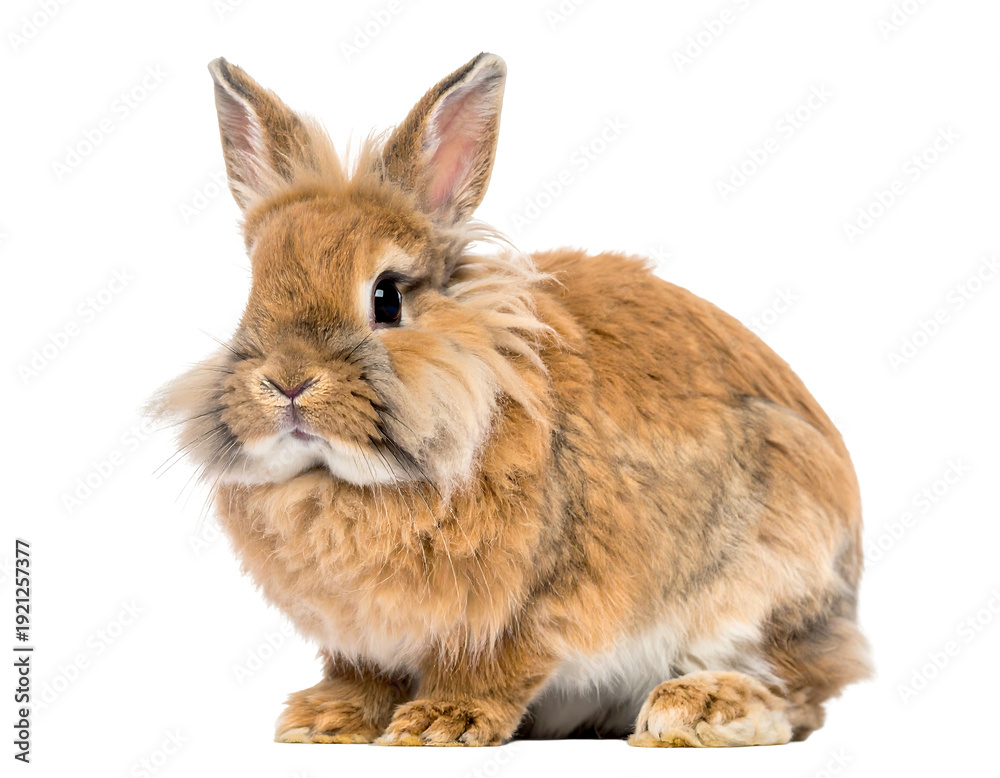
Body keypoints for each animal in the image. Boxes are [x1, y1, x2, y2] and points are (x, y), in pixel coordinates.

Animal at [152, 52, 871, 747]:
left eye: (386, 298)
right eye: (252, 295)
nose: (288, 381)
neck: (346, 483)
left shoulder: (533, 603)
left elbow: (495, 666)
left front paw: (440, 723)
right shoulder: (359, 638)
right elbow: (363, 676)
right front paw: (324, 721)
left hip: (765, 577)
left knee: (798, 693)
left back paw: (697, 710)